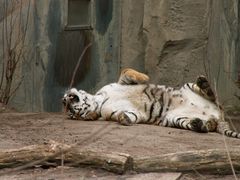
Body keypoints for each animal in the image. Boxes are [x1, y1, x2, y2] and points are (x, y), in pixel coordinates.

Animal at [62, 68, 240, 139]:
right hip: (175, 118)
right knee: (205, 125)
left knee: (212, 95)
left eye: (68, 108)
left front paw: (144, 77)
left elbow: (127, 71)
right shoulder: (132, 113)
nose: (65, 100)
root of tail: (218, 117)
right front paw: (123, 118)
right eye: (72, 113)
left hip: (189, 87)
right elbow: (126, 115)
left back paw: (203, 83)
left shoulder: (120, 83)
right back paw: (201, 124)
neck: (100, 102)